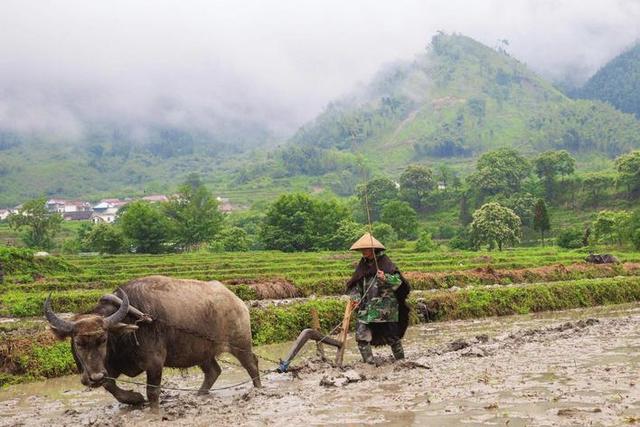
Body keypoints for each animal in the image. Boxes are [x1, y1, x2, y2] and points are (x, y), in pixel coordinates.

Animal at [43, 276, 262, 406]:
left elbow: (152, 392)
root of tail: (237, 301)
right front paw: (134, 399)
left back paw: (258, 390)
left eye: (103, 339)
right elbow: (110, 386)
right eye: (78, 343)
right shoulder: (108, 369)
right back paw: (199, 395)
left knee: (252, 364)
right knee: (214, 371)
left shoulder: (155, 362)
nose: (94, 377)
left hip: (241, 344)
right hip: (201, 351)